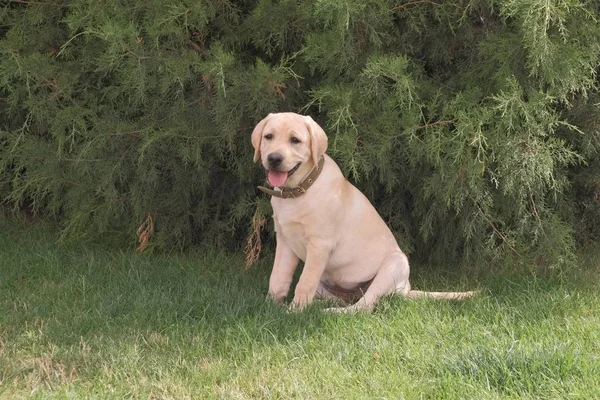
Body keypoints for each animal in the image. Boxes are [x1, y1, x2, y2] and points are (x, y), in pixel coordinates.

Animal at [251, 112, 476, 312]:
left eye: (295, 140)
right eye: (268, 136)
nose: (274, 158)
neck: (297, 192)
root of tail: (407, 289)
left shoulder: (319, 245)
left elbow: (304, 282)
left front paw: (294, 312)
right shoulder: (285, 241)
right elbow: (278, 277)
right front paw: (270, 306)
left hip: (395, 264)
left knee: (363, 307)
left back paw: (331, 312)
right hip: (326, 280)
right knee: (339, 298)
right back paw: (320, 305)